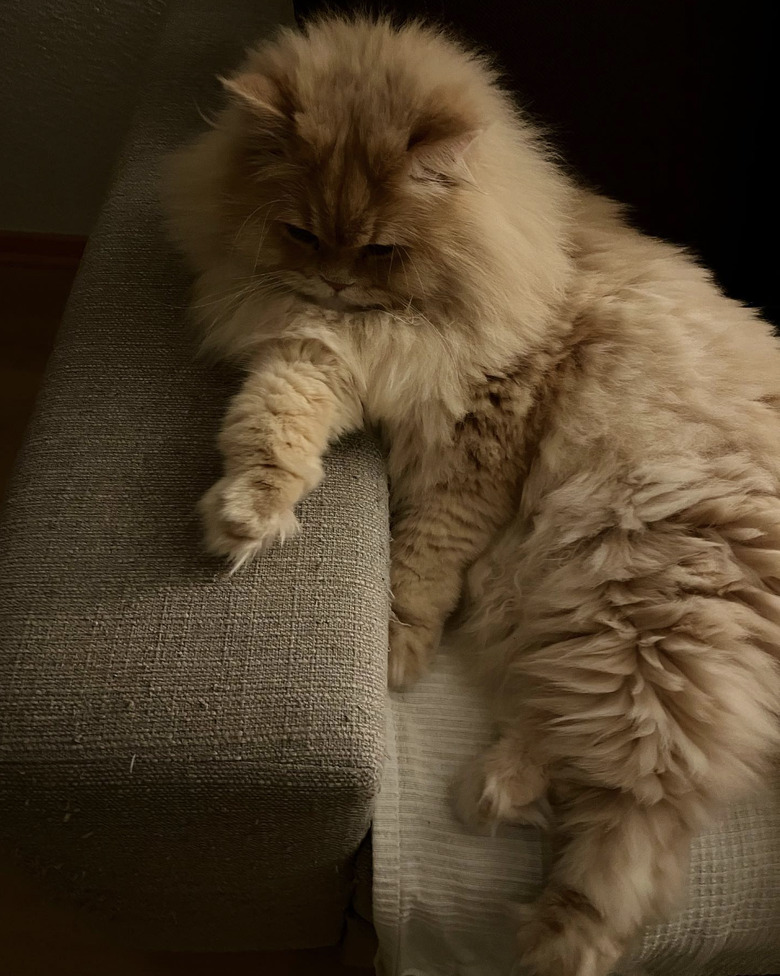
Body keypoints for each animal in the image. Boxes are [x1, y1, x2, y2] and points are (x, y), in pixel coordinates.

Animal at [163, 15, 780, 976]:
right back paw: (498, 790)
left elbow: (425, 557)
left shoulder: (484, 436)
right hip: (596, 622)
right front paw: (248, 514)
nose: (336, 281)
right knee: (585, 746)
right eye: (301, 234)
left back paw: (550, 921)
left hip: (645, 602)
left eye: (380, 249)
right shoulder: (315, 354)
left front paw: (393, 647)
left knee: (643, 812)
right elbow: (274, 427)